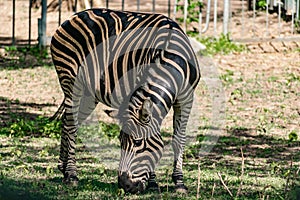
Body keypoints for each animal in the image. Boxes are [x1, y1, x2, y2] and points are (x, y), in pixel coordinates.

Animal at [51, 8, 202, 194]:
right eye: (120, 140)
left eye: (137, 142)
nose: (125, 185)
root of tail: (73, 16)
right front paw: (153, 182)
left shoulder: (186, 98)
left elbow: (179, 139)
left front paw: (179, 182)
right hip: (71, 80)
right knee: (71, 125)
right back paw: (72, 174)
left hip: (89, 93)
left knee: (68, 121)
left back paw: (63, 168)